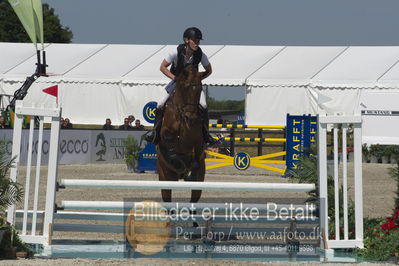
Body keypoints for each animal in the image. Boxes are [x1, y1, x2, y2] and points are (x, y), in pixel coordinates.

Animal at [156, 65, 206, 203]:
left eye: (200, 89)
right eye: (185, 87)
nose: (191, 118)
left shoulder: (198, 140)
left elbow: (196, 153)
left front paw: (190, 167)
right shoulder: (165, 133)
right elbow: (169, 140)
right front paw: (176, 160)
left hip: (199, 182)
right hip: (165, 177)